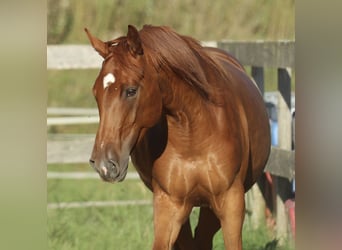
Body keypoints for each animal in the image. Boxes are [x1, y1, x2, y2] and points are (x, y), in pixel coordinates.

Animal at [87, 23, 272, 250]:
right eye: (96, 93)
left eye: (131, 91)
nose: (104, 164)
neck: (193, 137)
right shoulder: (169, 204)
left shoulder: (230, 202)